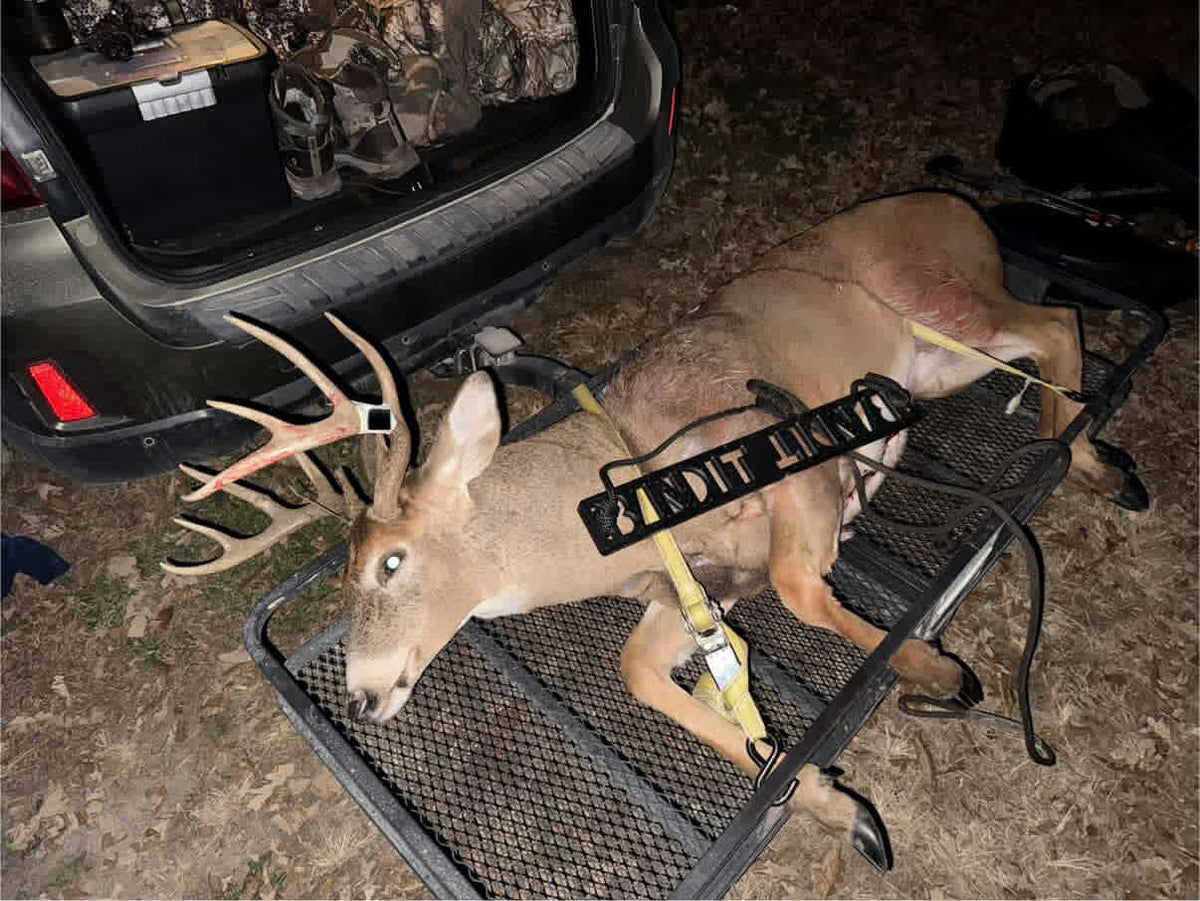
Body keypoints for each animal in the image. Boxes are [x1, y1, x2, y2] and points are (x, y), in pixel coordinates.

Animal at [165, 191, 1144, 869]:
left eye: (391, 562)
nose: (364, 695)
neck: (629, 481)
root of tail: (955, 204)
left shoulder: (789, 452)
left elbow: (801, 585)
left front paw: (938, 670)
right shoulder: (692, 588)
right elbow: (643, 673)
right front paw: (845, 810)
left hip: (941, 302)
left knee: (1055, 322)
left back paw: (1090, 458)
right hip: (934, 362)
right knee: (1044, 339)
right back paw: (1096, 461)